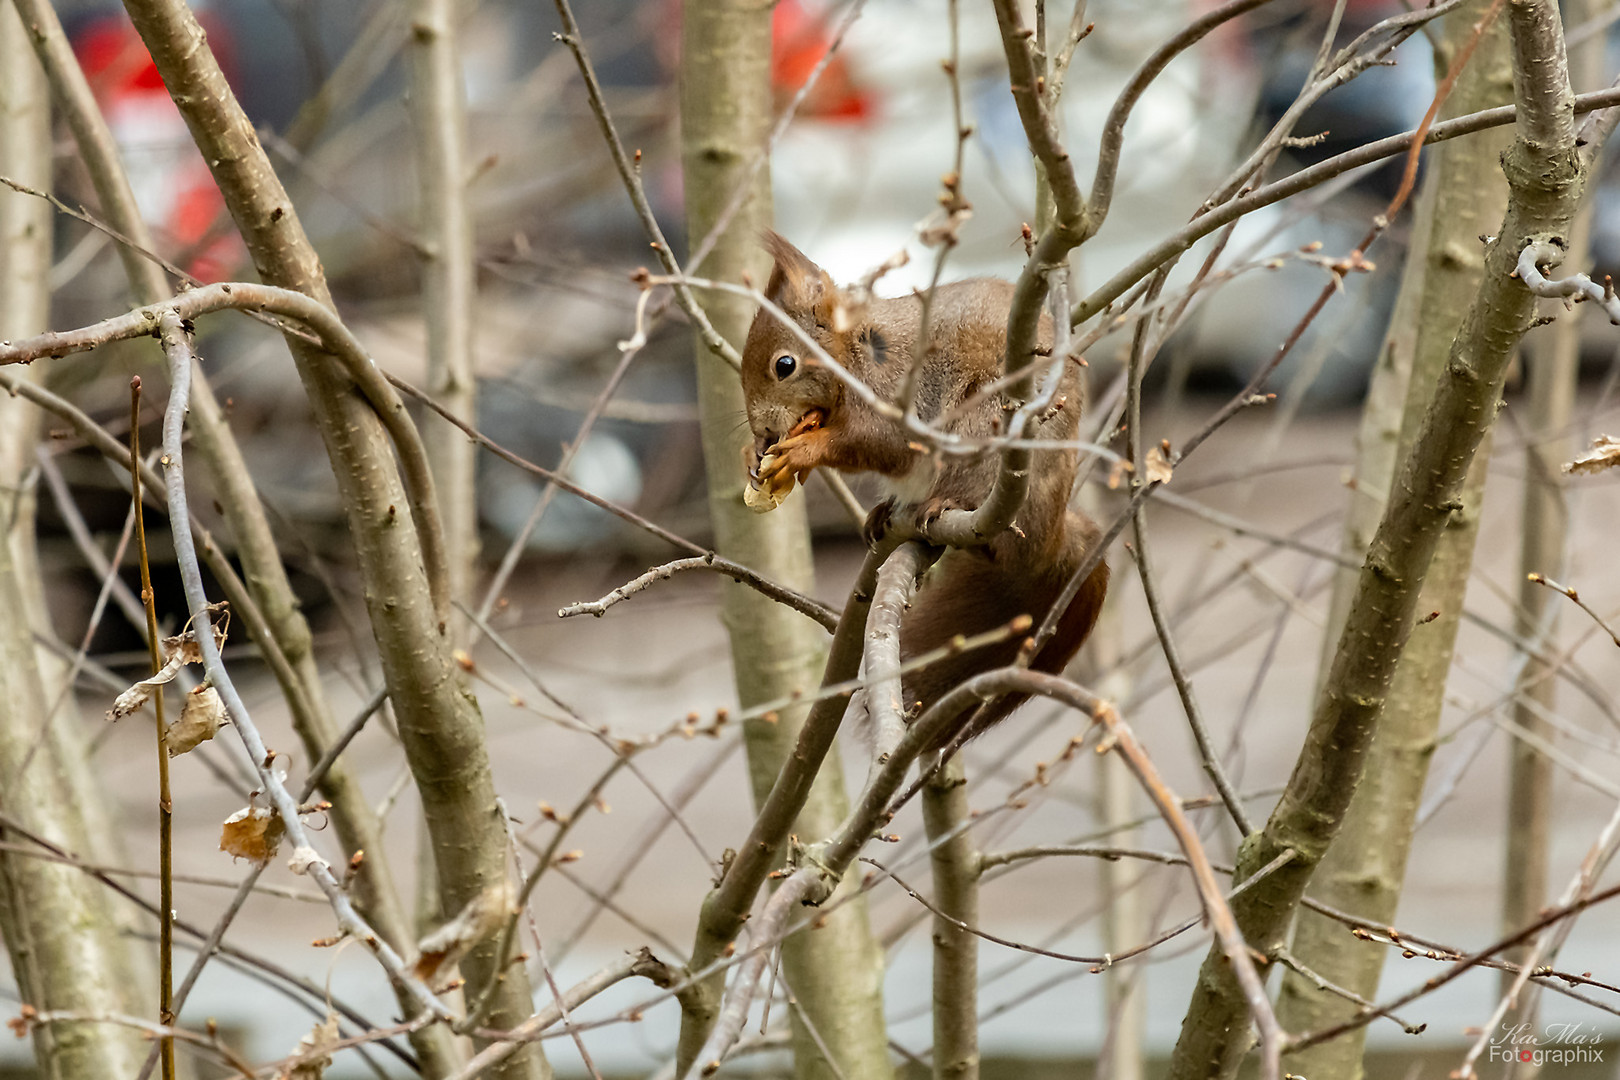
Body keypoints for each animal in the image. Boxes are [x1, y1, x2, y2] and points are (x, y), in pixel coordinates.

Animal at [738, 233, 1108, 748]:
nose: (764, 432)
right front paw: (753, 455)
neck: (854, 352)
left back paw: (944, 504)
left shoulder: (896, 391)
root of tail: (1046, 539)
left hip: (982, 432)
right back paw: (883, 512)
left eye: (784, 365)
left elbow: (880, 443)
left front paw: (805, 450)